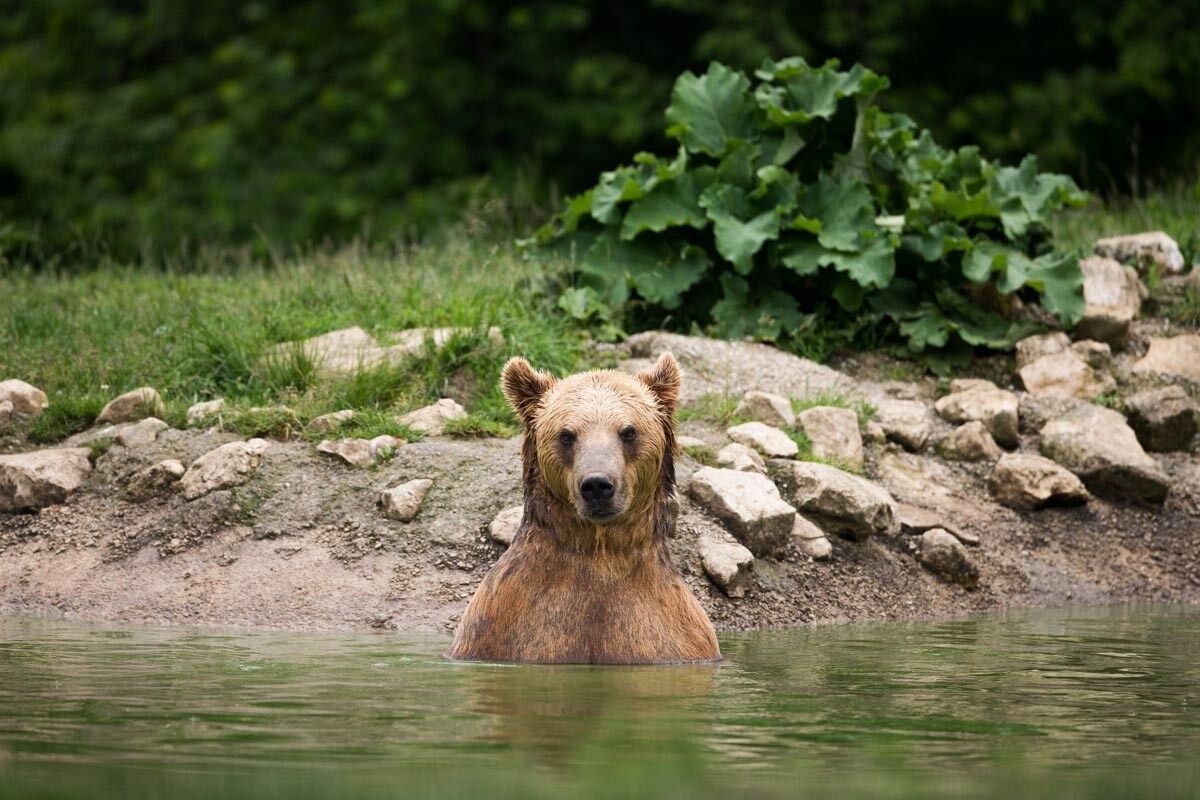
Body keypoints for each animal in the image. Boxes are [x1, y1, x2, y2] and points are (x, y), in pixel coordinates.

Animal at [447, 352, 720, 664]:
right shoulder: (504, 631)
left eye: (628, 431)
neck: (599, 551)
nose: (597, 485)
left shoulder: (671, 635)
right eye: (566, 435)